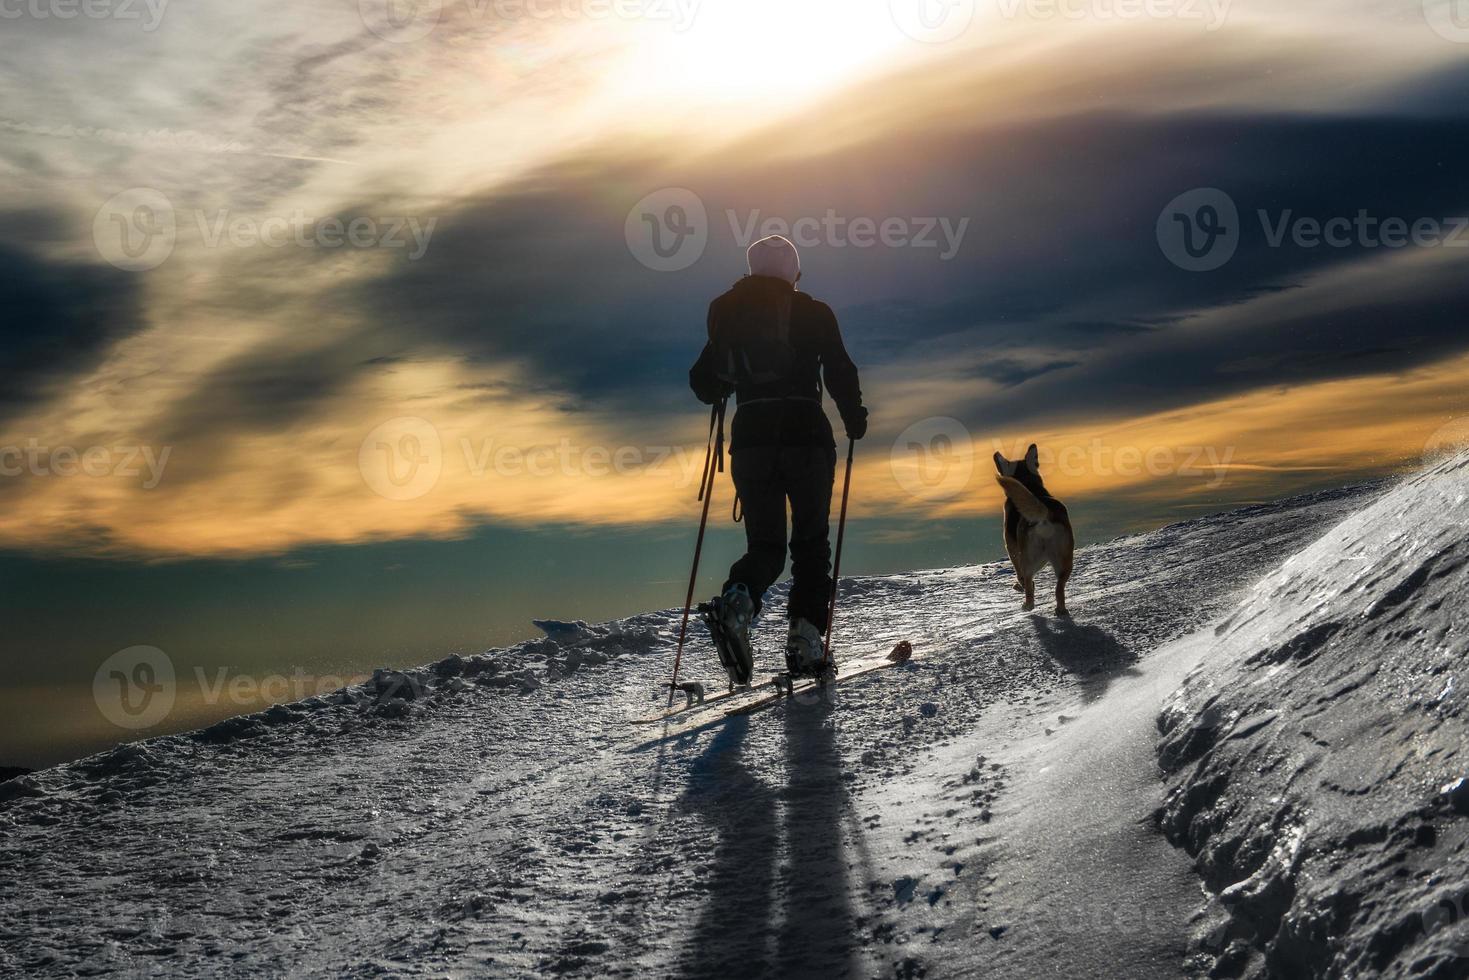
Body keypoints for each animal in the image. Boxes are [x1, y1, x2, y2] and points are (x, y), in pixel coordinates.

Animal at [993, 446, 1075, 617]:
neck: (1030, 485)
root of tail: (1046, 513)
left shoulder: (1011, 547)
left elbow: (1020, 574)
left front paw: (1020, 586)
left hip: (1029, 559)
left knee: (1028, 582)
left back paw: (1027, 604)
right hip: (1064, 561)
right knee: (1059, 589)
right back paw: (1061, 610)